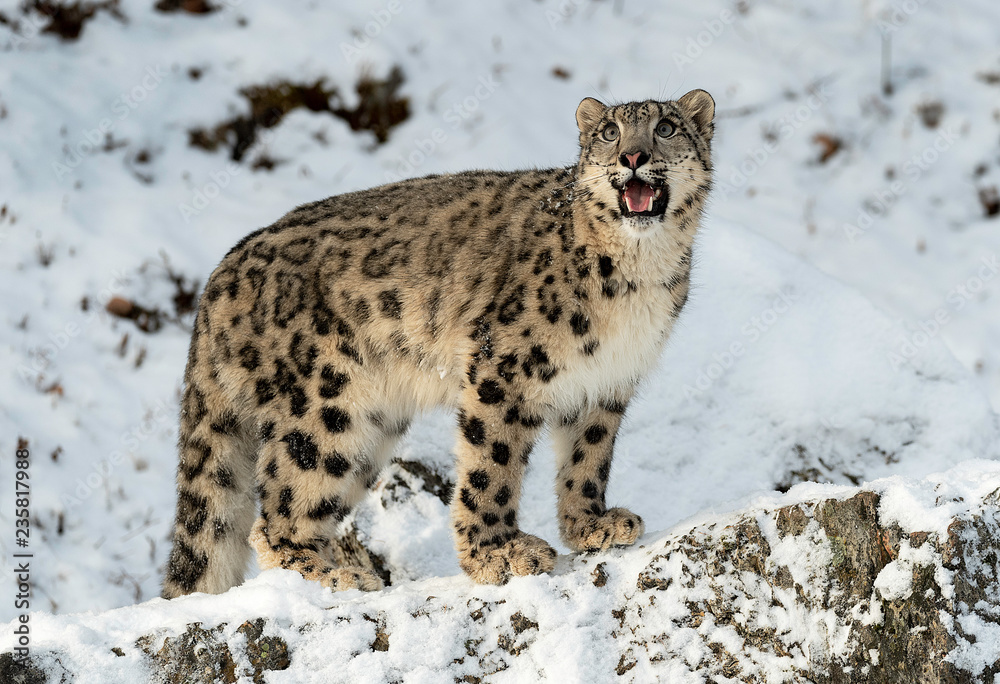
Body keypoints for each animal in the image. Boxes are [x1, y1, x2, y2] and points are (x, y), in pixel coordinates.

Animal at [162, 91, 712, 600]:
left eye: (665, 127)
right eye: (609, 133)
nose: (633, 156)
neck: (639, 274)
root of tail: (220, 276)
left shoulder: (607, 381)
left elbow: (588, 457)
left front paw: (591, 525)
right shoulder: (503, 367)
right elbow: (492, 463)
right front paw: (496, 553)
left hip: (369, 429)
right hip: (322, 408)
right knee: (275, 520)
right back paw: (341, 577)